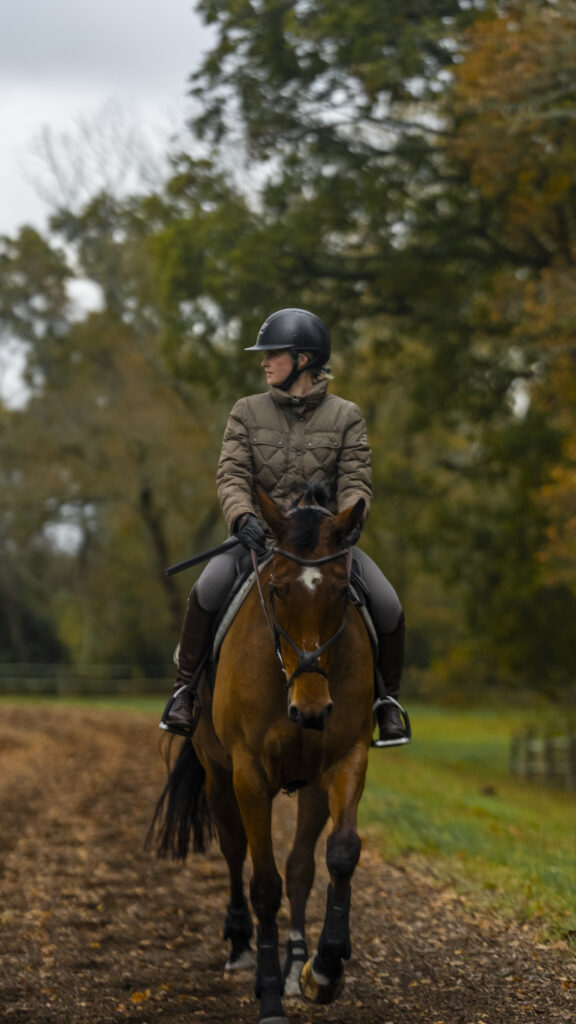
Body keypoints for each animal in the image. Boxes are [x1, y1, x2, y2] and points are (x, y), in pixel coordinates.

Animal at [150, 484, 375, 1024]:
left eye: (342, 591)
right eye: (277, 589)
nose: (311, 710)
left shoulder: (344, 760)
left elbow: (338, 855)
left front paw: (323, 969)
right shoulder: (249, 775)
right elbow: (264, 885)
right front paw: (270, 996)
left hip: (309, 786)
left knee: (301, 867)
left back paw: (297, 962)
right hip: (218, 776)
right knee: (234, 852)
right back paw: (239, 946)